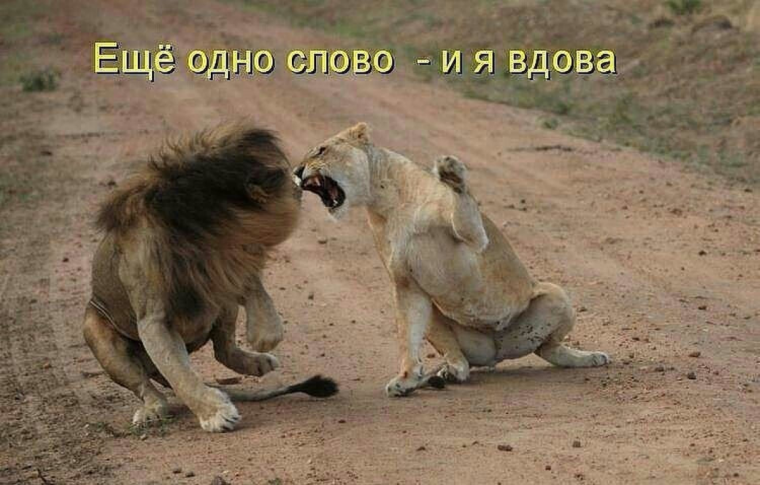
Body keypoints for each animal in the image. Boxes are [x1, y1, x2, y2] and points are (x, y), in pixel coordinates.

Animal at [83, 122, 337, 432]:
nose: (298, 178)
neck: (203, 237)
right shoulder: (154, 322)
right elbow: (181, 376)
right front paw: (216, 414)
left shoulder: (226, 268)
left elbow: (254, 289)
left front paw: (264, 332)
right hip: (97, 333)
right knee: (146, 384)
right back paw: (152, 410)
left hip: (221, 308)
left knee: (223, 349)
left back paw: (259, 362)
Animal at [294, 123, 610, 397]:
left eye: (321, 150)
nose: (296, 172)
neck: (386, 202)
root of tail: (500, 351)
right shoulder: (406, 284)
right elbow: (408, 336)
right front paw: (406, 379)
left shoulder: (475, 238)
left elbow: (462, 201)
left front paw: (451, 172)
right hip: (441, 315)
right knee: (464, 356)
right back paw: (450, 371)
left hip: (557, 295)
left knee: (548, 346)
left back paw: (590, 357)